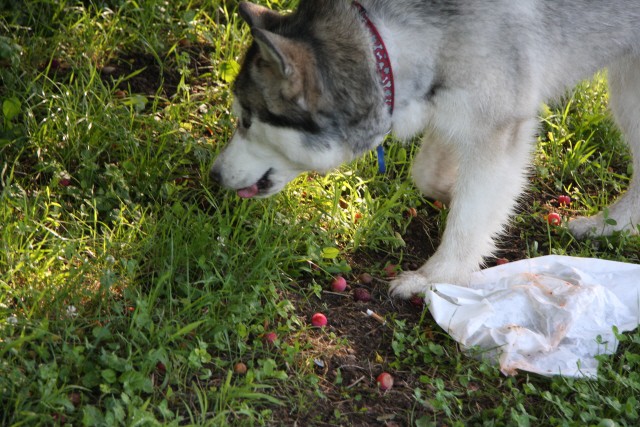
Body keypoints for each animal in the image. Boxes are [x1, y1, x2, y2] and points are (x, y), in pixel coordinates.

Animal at [211, 0, 640, 300]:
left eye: (245, 119)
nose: (213, 174)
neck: (384, 42)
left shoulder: (497, 128)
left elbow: (472, 213)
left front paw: (435, 277)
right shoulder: (450, 109)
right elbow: (430, 175)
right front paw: (452, 194)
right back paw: (610, 225)